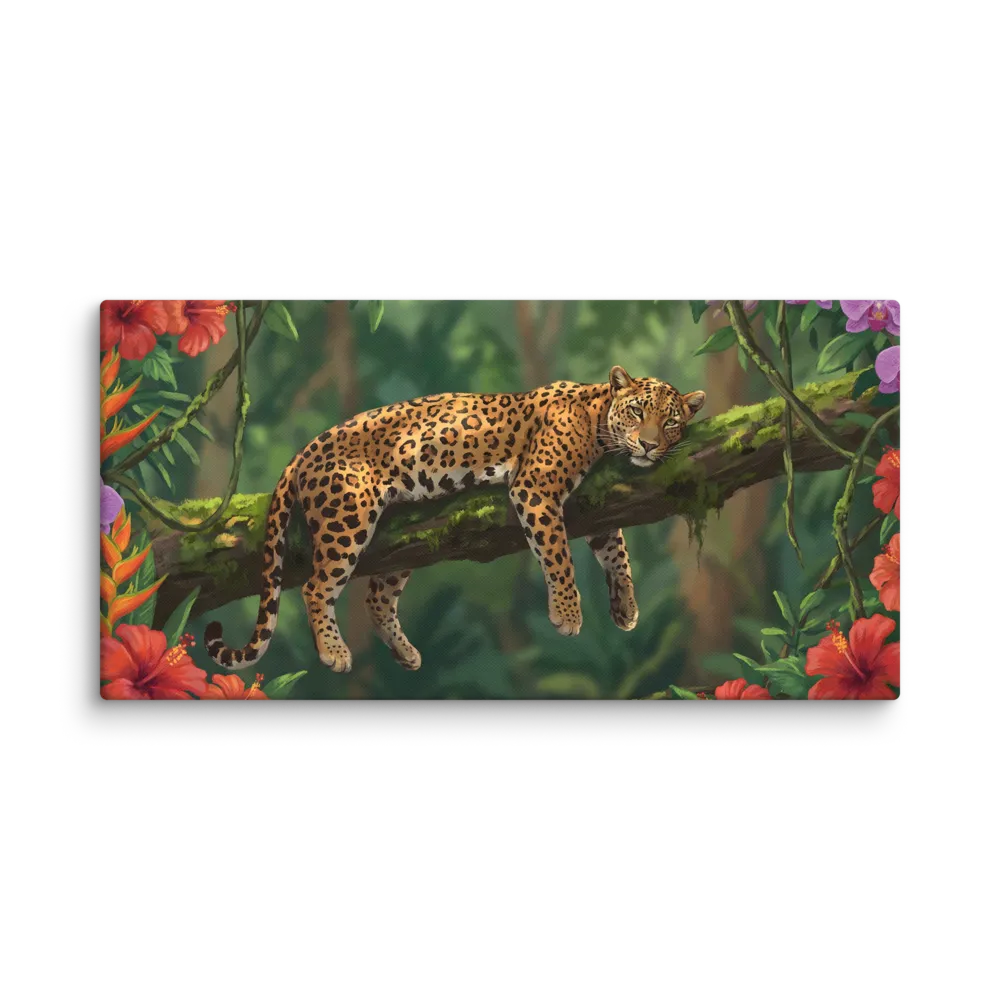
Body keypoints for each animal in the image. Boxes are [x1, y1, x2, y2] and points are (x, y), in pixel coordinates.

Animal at [203, 366, 706, 674]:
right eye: (638, 411)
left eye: (671, 422)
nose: (649, 445)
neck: (597, 415)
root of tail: (305, 449)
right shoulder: (536, 489)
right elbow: (559, 556)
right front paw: (566, 614)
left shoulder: (595, 506)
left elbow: (616, 551)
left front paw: (625, 607)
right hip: (348, 519)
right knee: (316, 586)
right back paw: (333, 651)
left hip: (399, 540)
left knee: (376, 599)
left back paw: (406, 653)